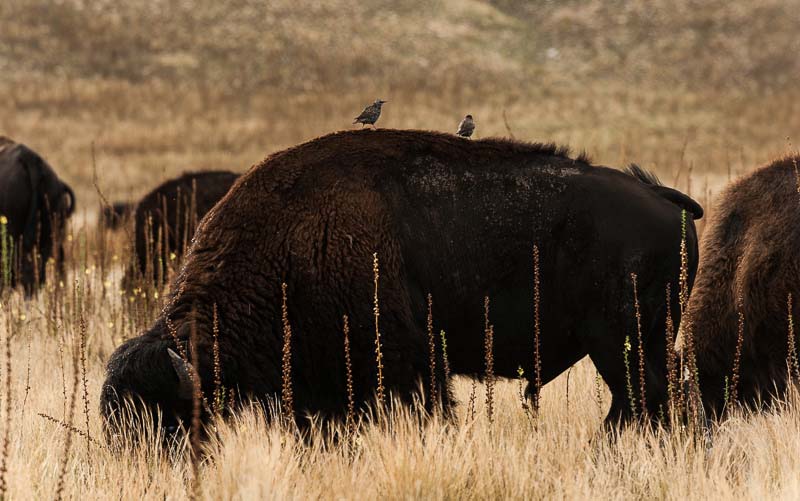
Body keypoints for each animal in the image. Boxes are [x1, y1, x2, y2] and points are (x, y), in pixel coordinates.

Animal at [98, 129, 700, 434]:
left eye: (166, 419)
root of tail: (667, 200)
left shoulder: (404, 365)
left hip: (619, 341)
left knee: (643, 403)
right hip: (636, 342)